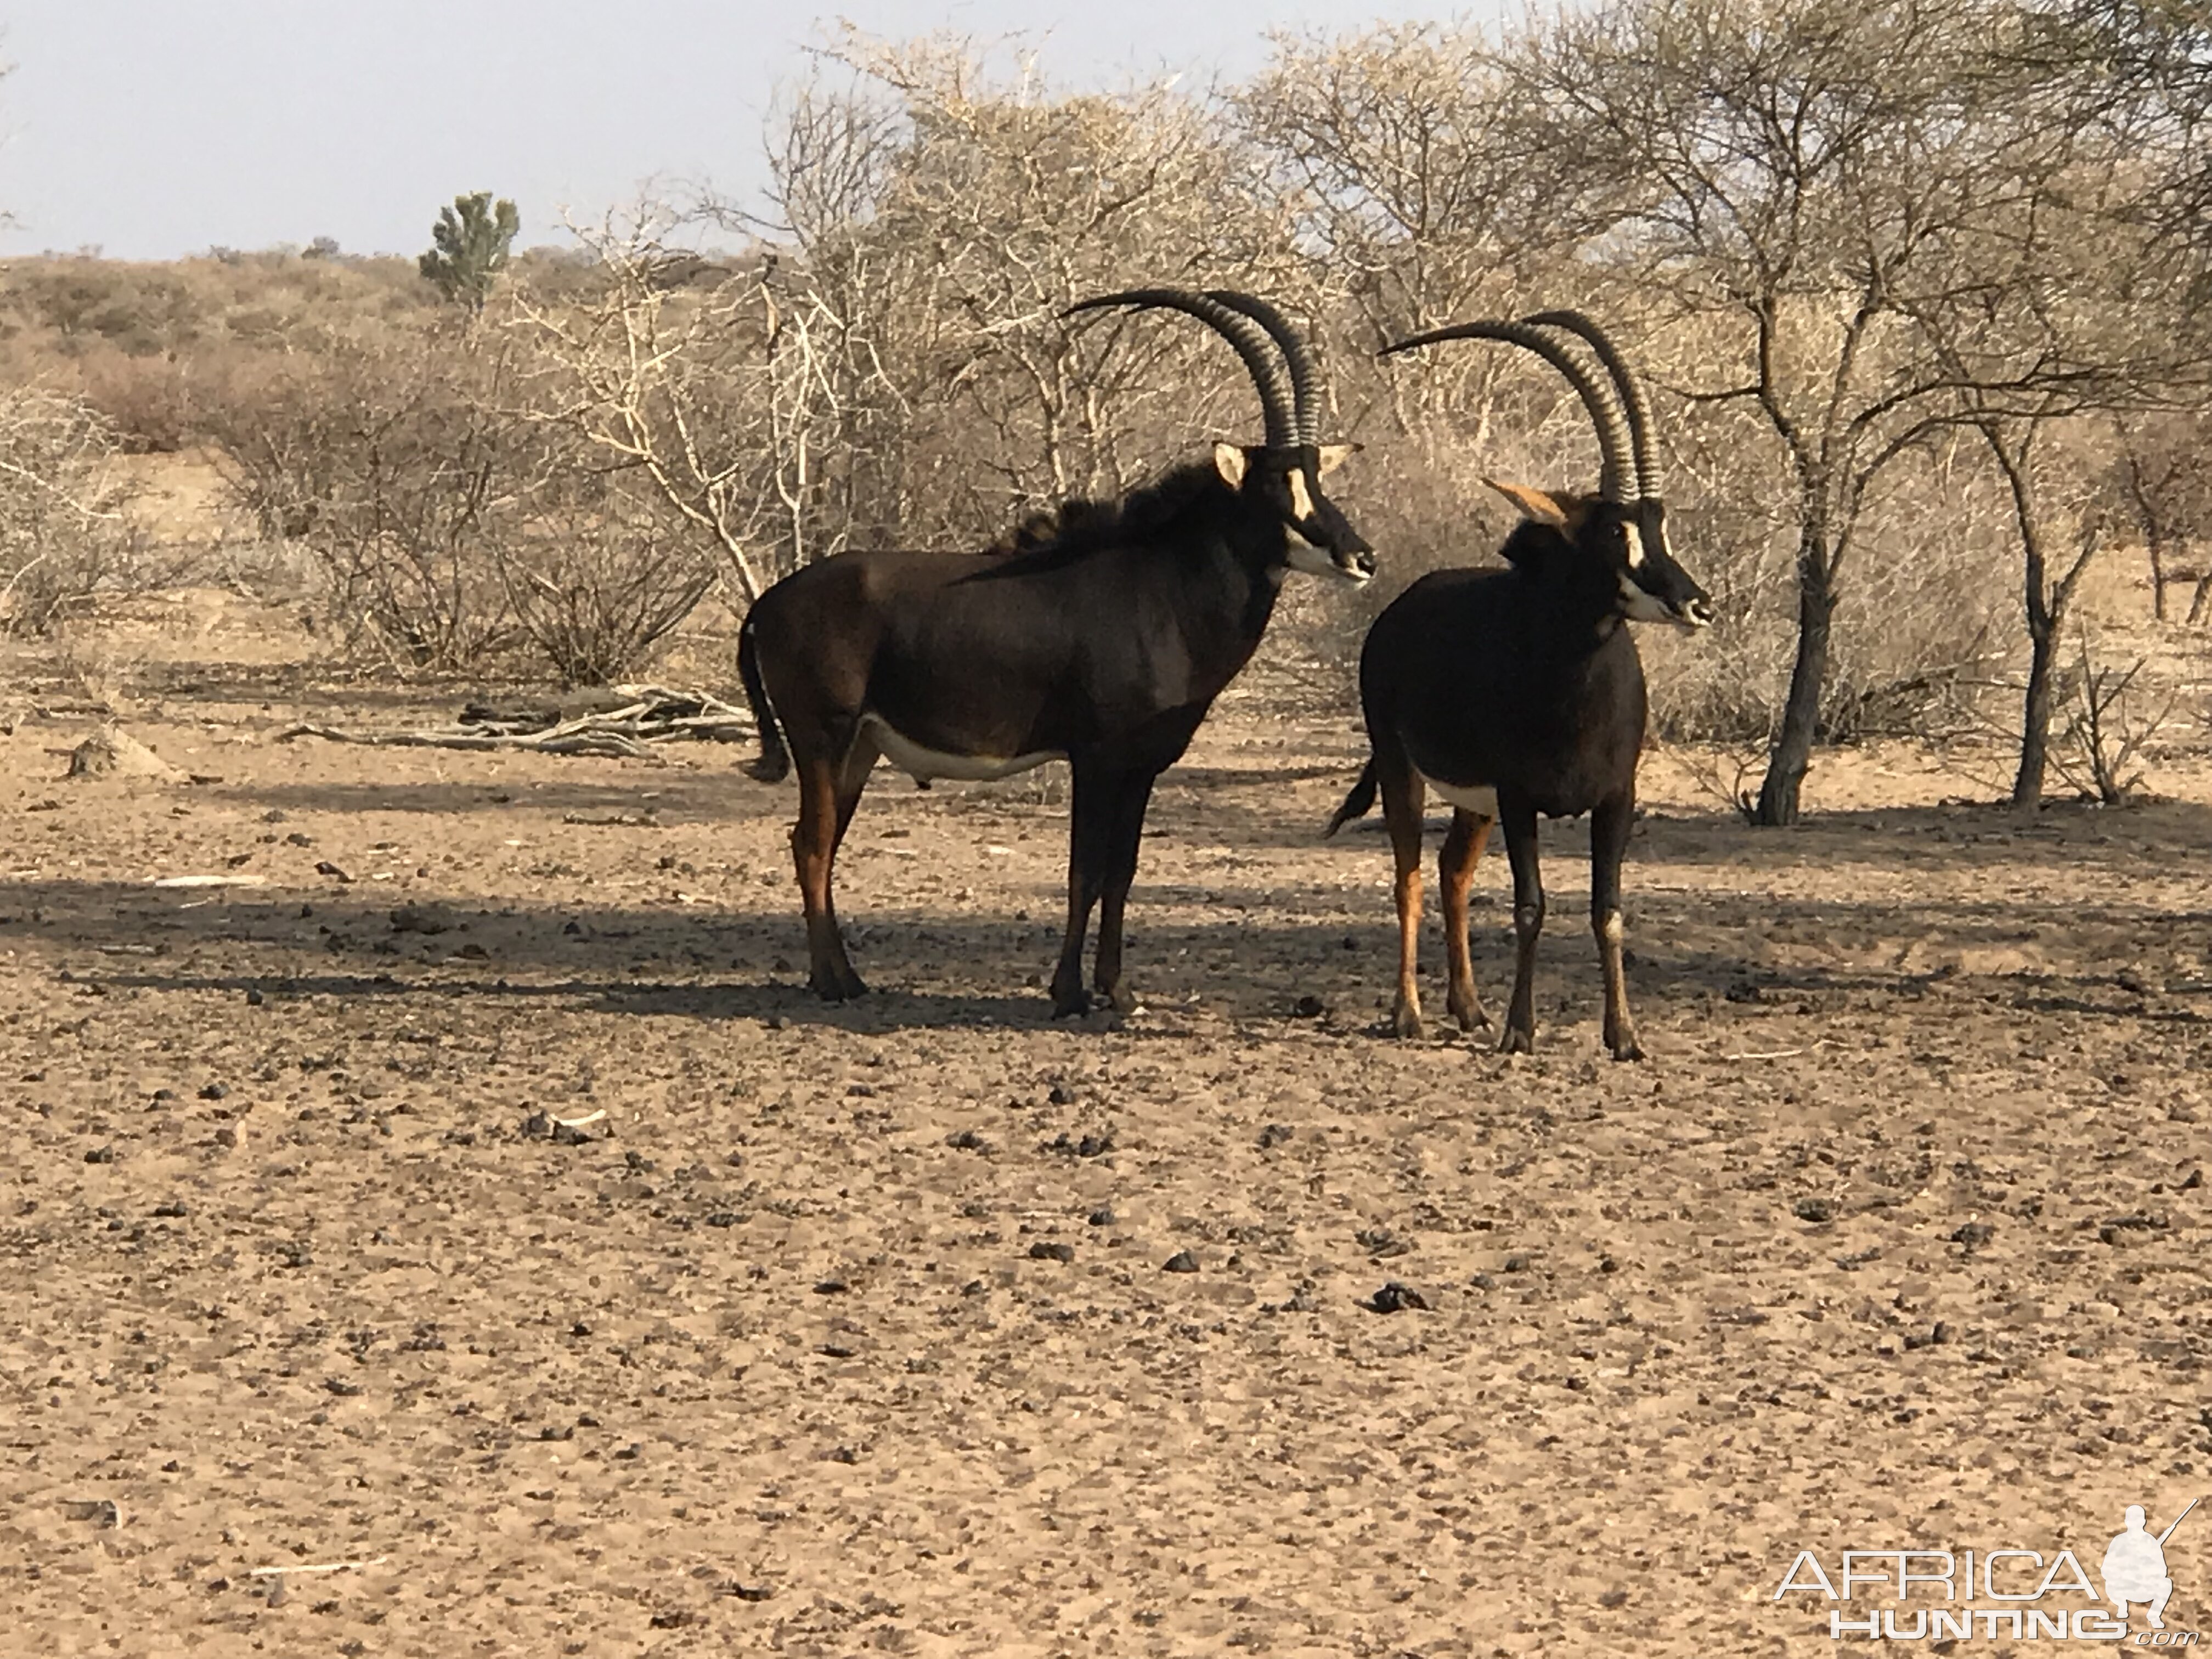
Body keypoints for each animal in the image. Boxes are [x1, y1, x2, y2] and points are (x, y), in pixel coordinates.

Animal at [738, 287, 1362, 1013]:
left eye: (1317, 476)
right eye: (1275, 486)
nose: (1361, 558)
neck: (1163, 582)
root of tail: (769, 603)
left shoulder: (1143, 767)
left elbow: (1122, 873)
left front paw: (1117, 991)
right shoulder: (1094, 758)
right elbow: (1083, 872)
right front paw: (1069, 993)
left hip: (858, 751)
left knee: (818, 843)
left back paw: (839, 976)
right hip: (822, 738)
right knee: (811, 845)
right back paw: (837, 984)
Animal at [1327, 318, 1707, 1057]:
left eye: (1659, 522)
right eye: (1614, 529)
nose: (1696, 603)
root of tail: (1398, 609)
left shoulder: (1617, 798)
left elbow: (1608, 910)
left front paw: (1623, 1035)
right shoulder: (1519, 798)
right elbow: (1531, 906)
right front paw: (1521, 1031)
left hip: (1472, 804)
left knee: (1452, 870)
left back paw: (1469, 1008)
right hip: (1401, 768)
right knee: (1409, 877)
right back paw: (1409, 1014)